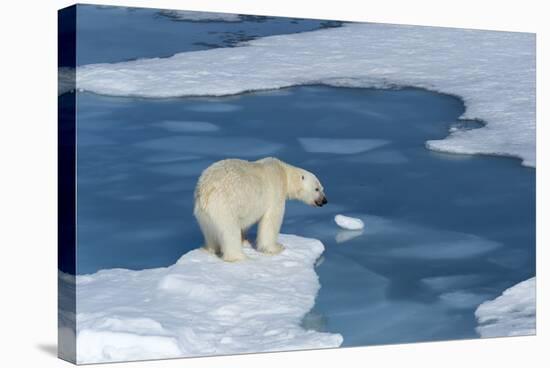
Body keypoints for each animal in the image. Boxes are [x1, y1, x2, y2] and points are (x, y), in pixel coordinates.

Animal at [195, 157, 328, 262]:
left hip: (203, 214)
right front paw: (276, 248)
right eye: (317, 189)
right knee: (229, 231)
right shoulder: (275, 191)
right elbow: (271, 221)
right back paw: (239, 257)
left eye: (322, 188)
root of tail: (205, 191)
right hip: (224, 205)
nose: (324, 200)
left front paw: (245, 241)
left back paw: (211, 248)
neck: (284, 173)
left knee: (210, 232)